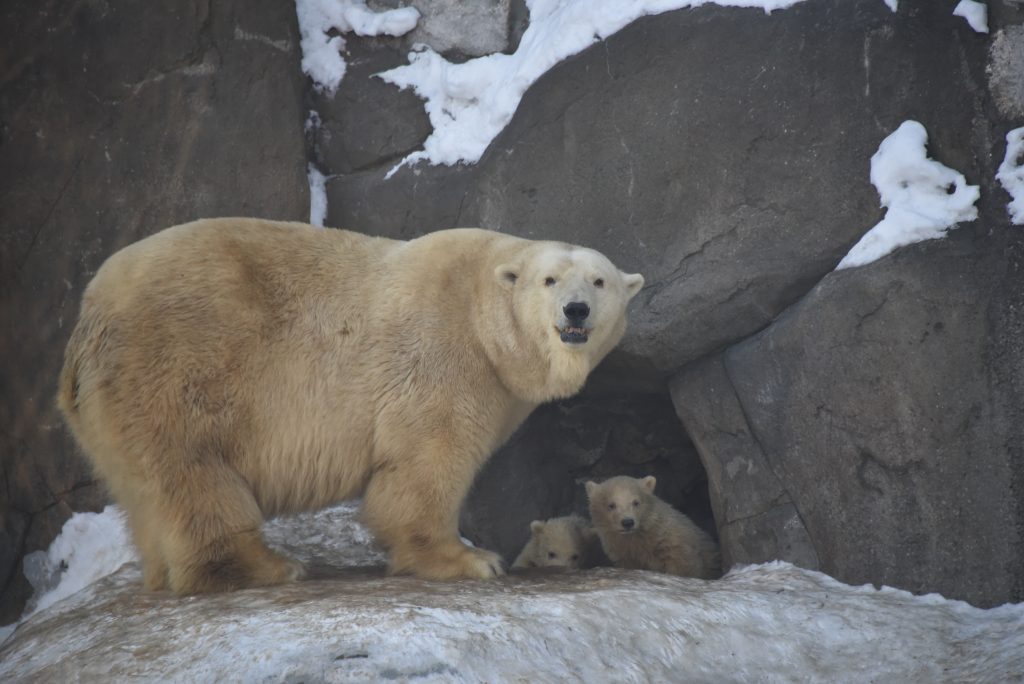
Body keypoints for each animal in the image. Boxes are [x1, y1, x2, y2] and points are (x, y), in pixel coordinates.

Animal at [58, 218, 638, 593]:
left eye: (599, 280)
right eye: (549, 279)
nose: (576, 310)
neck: (479, 307)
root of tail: (86, 323)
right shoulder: (441, 353)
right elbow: (427, 460)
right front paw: (469, 558)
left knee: (145, 490)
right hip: (178, 367)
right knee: (195, 471)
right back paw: (269, 567)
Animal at [585, 479, 720, 581]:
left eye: (636, 502)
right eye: (611, 505)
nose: (628, 522)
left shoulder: (674, 545)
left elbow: (684, 567)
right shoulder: (625, 553)